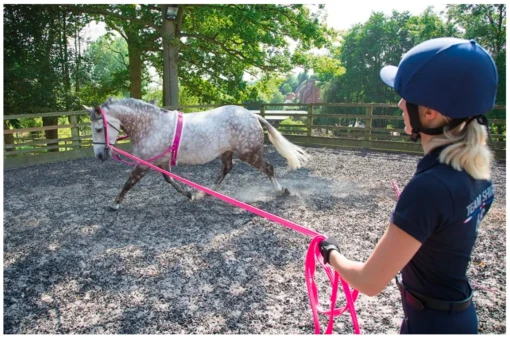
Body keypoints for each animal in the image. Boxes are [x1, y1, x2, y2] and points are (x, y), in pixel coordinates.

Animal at [84, 97, 308, 211]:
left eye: (98, 129)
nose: (100, 156)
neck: (151, 126)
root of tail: (252, 115)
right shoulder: (161, 162)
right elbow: (169, 180)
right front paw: (189, 194)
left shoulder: (144, 163)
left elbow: (129, 182)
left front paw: (114, 203)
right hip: (227, 152)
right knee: (226, 169)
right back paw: (205, 193)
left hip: (248, 153)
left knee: (268, 168)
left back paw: (282, 190)